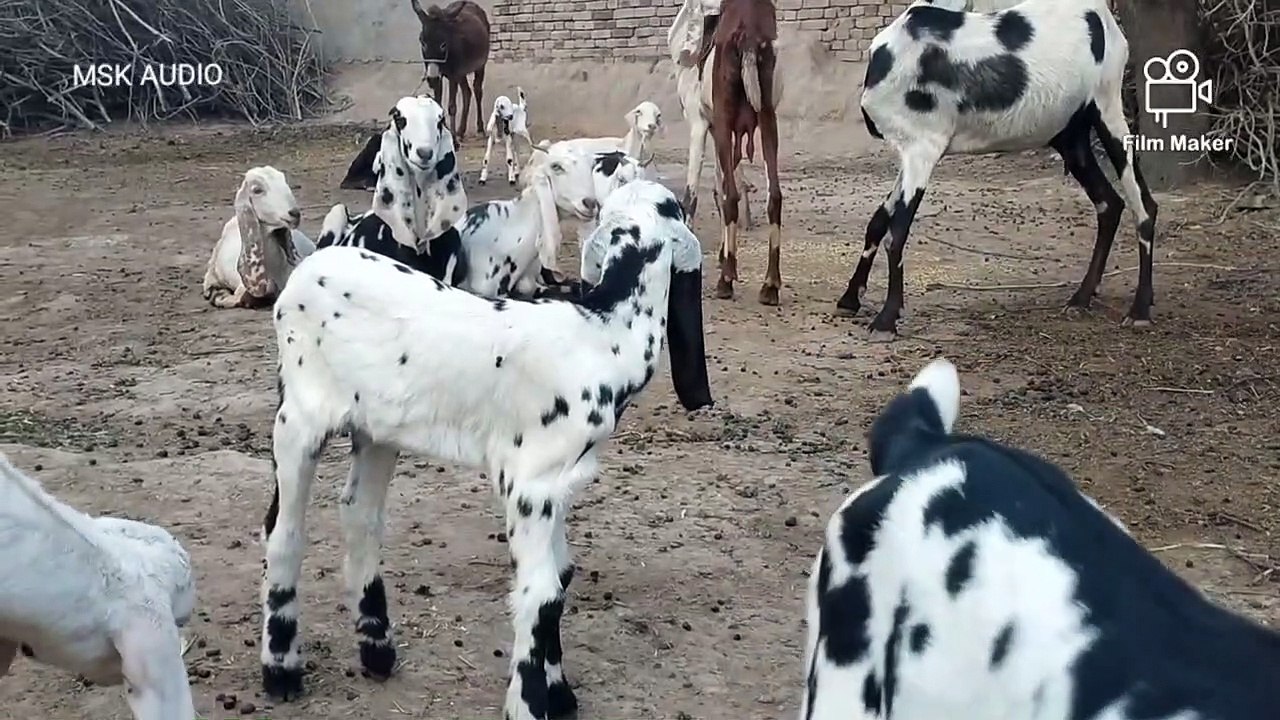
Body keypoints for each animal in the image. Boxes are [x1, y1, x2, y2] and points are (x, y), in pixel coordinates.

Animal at [258, 179, 713, 720]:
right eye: (675, 207)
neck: (600, 334)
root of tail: (310, 267)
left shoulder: (559, 482)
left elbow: (560, 578)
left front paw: (558, 692)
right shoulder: (529, 482)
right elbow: (540, 593)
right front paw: (529, 701)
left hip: (378, 426)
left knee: (359, 514)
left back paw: (377, 648)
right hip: (298, 416)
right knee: (283, 531)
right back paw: (280, 669)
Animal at [837, 0, 1158, 339]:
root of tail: (1103, 16)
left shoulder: (923, 148)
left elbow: (896, 231)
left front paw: (886, 319)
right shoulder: (911, 152)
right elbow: (877, 222)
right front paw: (849, 300)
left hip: (1108, 106)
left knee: (1143, 206)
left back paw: (1139, 310)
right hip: (1070, 134)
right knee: (1109, 203)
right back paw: (1080, 298)